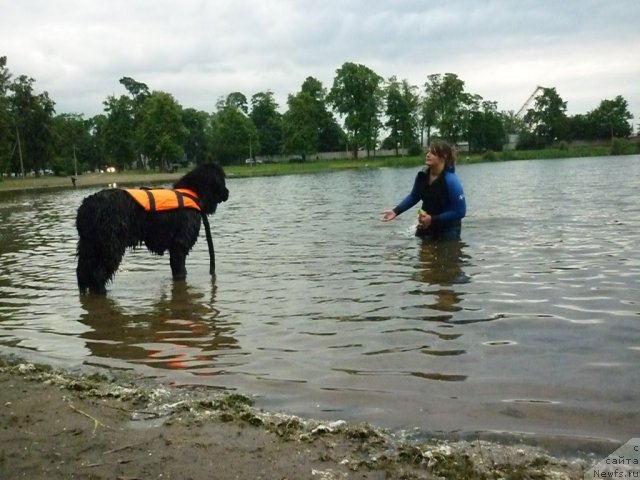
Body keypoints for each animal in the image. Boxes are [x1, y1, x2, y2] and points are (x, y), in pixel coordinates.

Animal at [76, 163, 229, 294]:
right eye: (222, 179)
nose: (227, 193)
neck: (191, 193)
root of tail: (87, 206)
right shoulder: (180, 244)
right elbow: (180, 269)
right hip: (111, 245)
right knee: (98, 273)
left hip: (88, 245)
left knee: (82, 272)